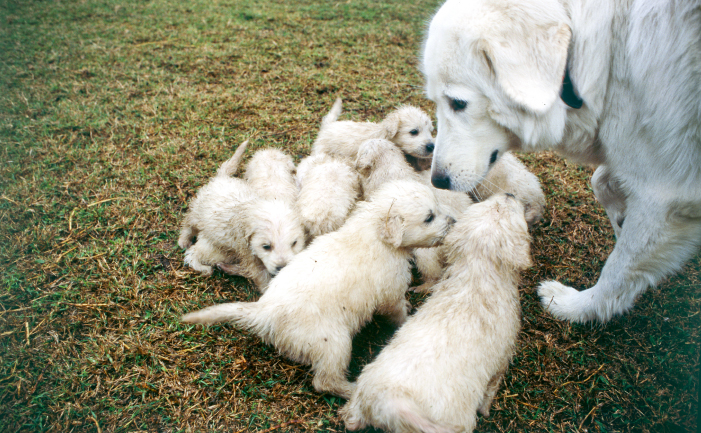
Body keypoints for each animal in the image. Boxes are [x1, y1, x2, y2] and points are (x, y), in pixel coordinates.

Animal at [178, 142, 304, 290]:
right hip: (198, 214)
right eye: (266, 246)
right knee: (188, 230)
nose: (282, 268)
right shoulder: (249, 255)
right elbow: (261, 277)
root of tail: (221, 178)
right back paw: (185, 243)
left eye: (294, 243)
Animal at [180, 179, 454, 398]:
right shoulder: (389, 293)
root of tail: (263, 310)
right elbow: (397, 312)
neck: (376, 233)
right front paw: (407, 318)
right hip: (333, 342)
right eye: (429, 217)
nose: (453, 221)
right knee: (324, 382)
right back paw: (352, 389)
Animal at [340, 193, 532, 432]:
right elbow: (492, 388)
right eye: (505, 208)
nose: (509, 194)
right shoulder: (503, 356)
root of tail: (391, 404)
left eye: (489, 204)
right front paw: (486, 409)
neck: (477, 276)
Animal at [422, 0, 700, 322]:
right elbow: (600, 181)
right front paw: (620, 218)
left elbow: (619, 269)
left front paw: (577, 307)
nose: (437, 180)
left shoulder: (663, 195)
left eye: (458, 103)